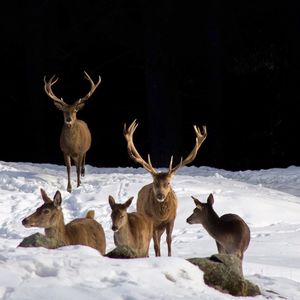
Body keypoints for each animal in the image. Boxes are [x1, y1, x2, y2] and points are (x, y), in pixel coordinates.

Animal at [123, 119, 207, 255]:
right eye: (154, 182)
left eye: (168, 183)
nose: (160, 195)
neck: (161, 216)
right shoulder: (151, 221)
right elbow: (156, 245)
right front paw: (159, 256)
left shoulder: (171, 219)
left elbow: (169, 240)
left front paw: (169, 256)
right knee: (152, 241)